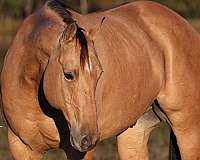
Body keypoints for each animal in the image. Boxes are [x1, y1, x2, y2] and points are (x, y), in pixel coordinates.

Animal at [1, 0, 200, 160]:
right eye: (68, 74)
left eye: (99, 74)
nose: (88, 139)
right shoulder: (23, 148)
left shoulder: (78, 151)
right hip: (134, 134)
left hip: (188, 131)